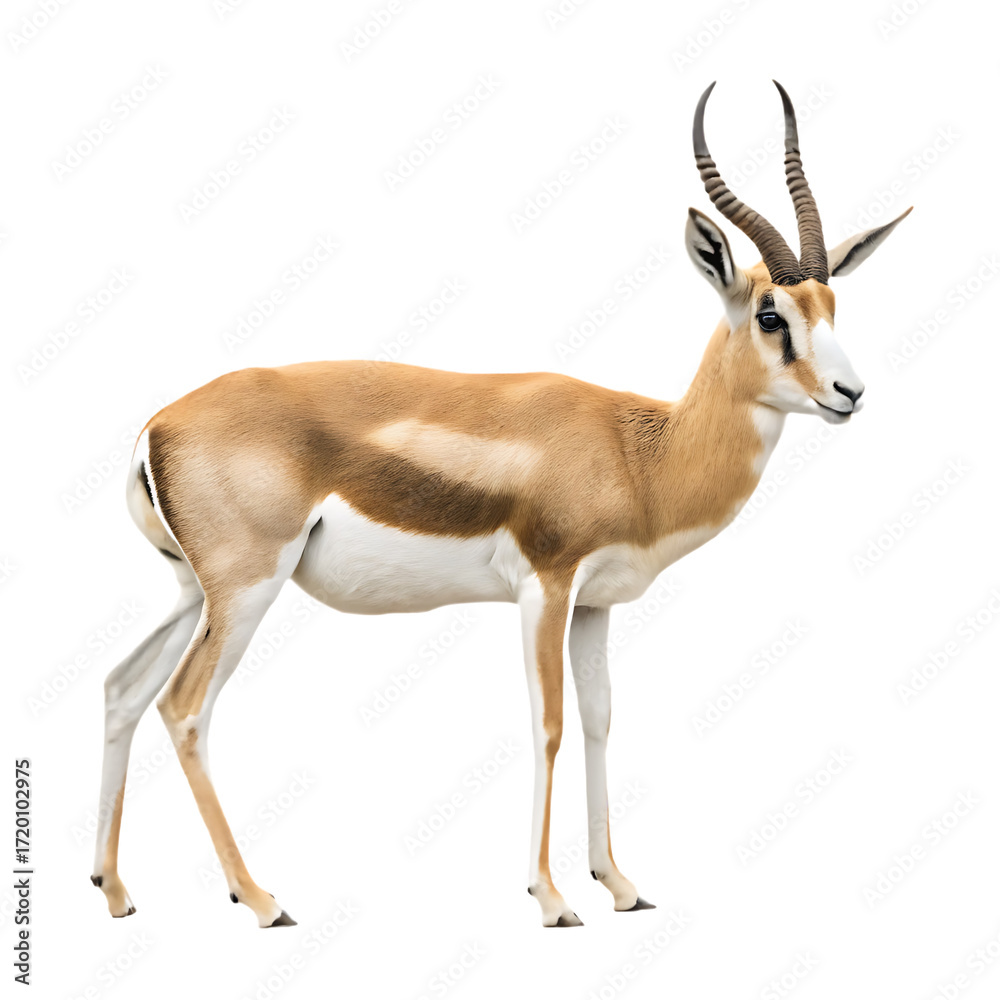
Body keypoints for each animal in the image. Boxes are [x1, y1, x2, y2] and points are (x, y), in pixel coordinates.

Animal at [91, 81, 910, 929]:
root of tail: (158, 425)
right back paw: (260, 899)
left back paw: (115, 891)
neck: (640, 451)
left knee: (122, 688)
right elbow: (548, 723)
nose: (849, 393)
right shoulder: (544, 588)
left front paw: (621, 885)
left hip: (195, 591)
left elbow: (598, 720)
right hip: (248, 588)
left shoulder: (593, 604)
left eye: (831, 308)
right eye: (770, 314)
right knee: (184, 707)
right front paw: (551, 899)